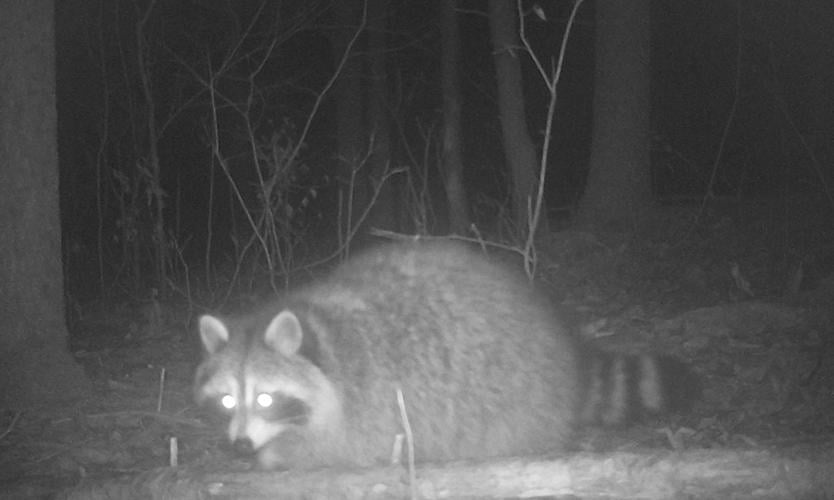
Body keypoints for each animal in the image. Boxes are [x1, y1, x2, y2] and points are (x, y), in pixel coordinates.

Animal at [194, 240, 688, 470]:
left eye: (266, 398)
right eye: (227, 401)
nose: (239, 446)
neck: (319, 331)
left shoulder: (369, 405)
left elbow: (339, 448)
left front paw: (275, 454)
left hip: (515, 393)